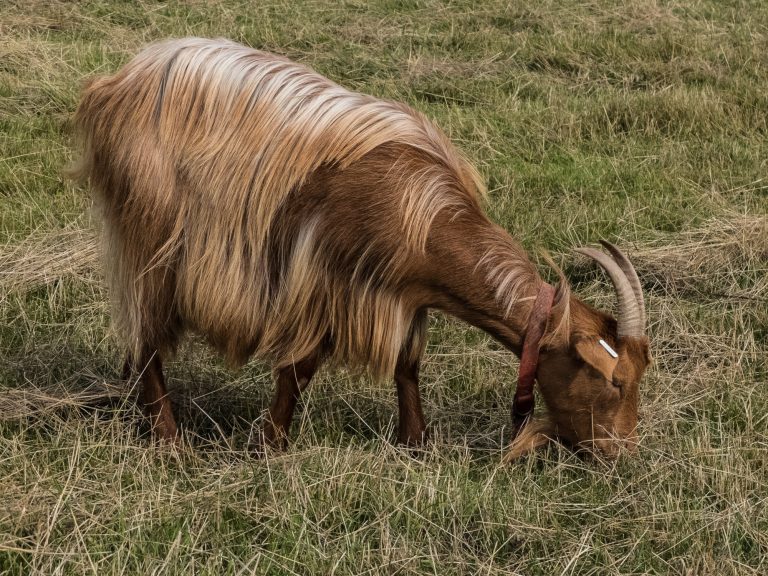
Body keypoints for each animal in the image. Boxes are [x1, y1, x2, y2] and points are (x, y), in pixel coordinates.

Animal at [70, 38, 650, 458]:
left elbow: (407, 364)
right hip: (150, 239)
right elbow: (300, 367)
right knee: (146, 334)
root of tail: (113, 86)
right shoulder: (327, 278)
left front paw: (416, 444)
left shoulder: (407, 295)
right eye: (614, 382)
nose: (620, 453)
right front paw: (270, 446)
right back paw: (169, 442)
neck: (420, 209)